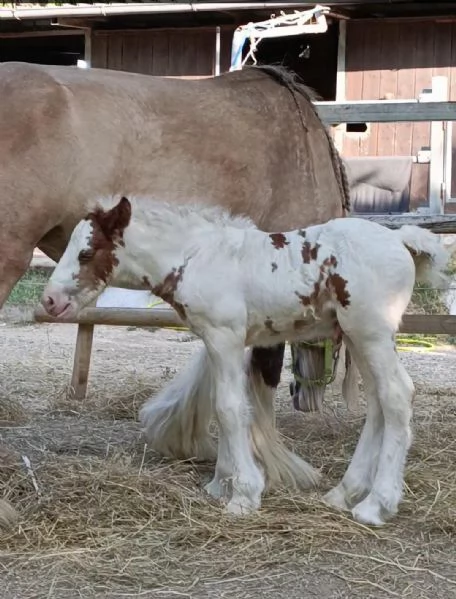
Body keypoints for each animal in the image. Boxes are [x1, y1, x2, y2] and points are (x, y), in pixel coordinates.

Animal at [41, 197, 448, 524]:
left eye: (86, 253)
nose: (49, 301)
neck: (197, 257)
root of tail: (399, 239)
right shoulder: (223, 342)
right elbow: (226, 404)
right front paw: (222, 483)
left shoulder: (224, 337)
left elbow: (229, 408)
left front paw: (243, 495)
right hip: (357, 336)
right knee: (378, 403)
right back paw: (343, 494)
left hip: (371, 333)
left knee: (396, 397)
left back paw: (376, 505)